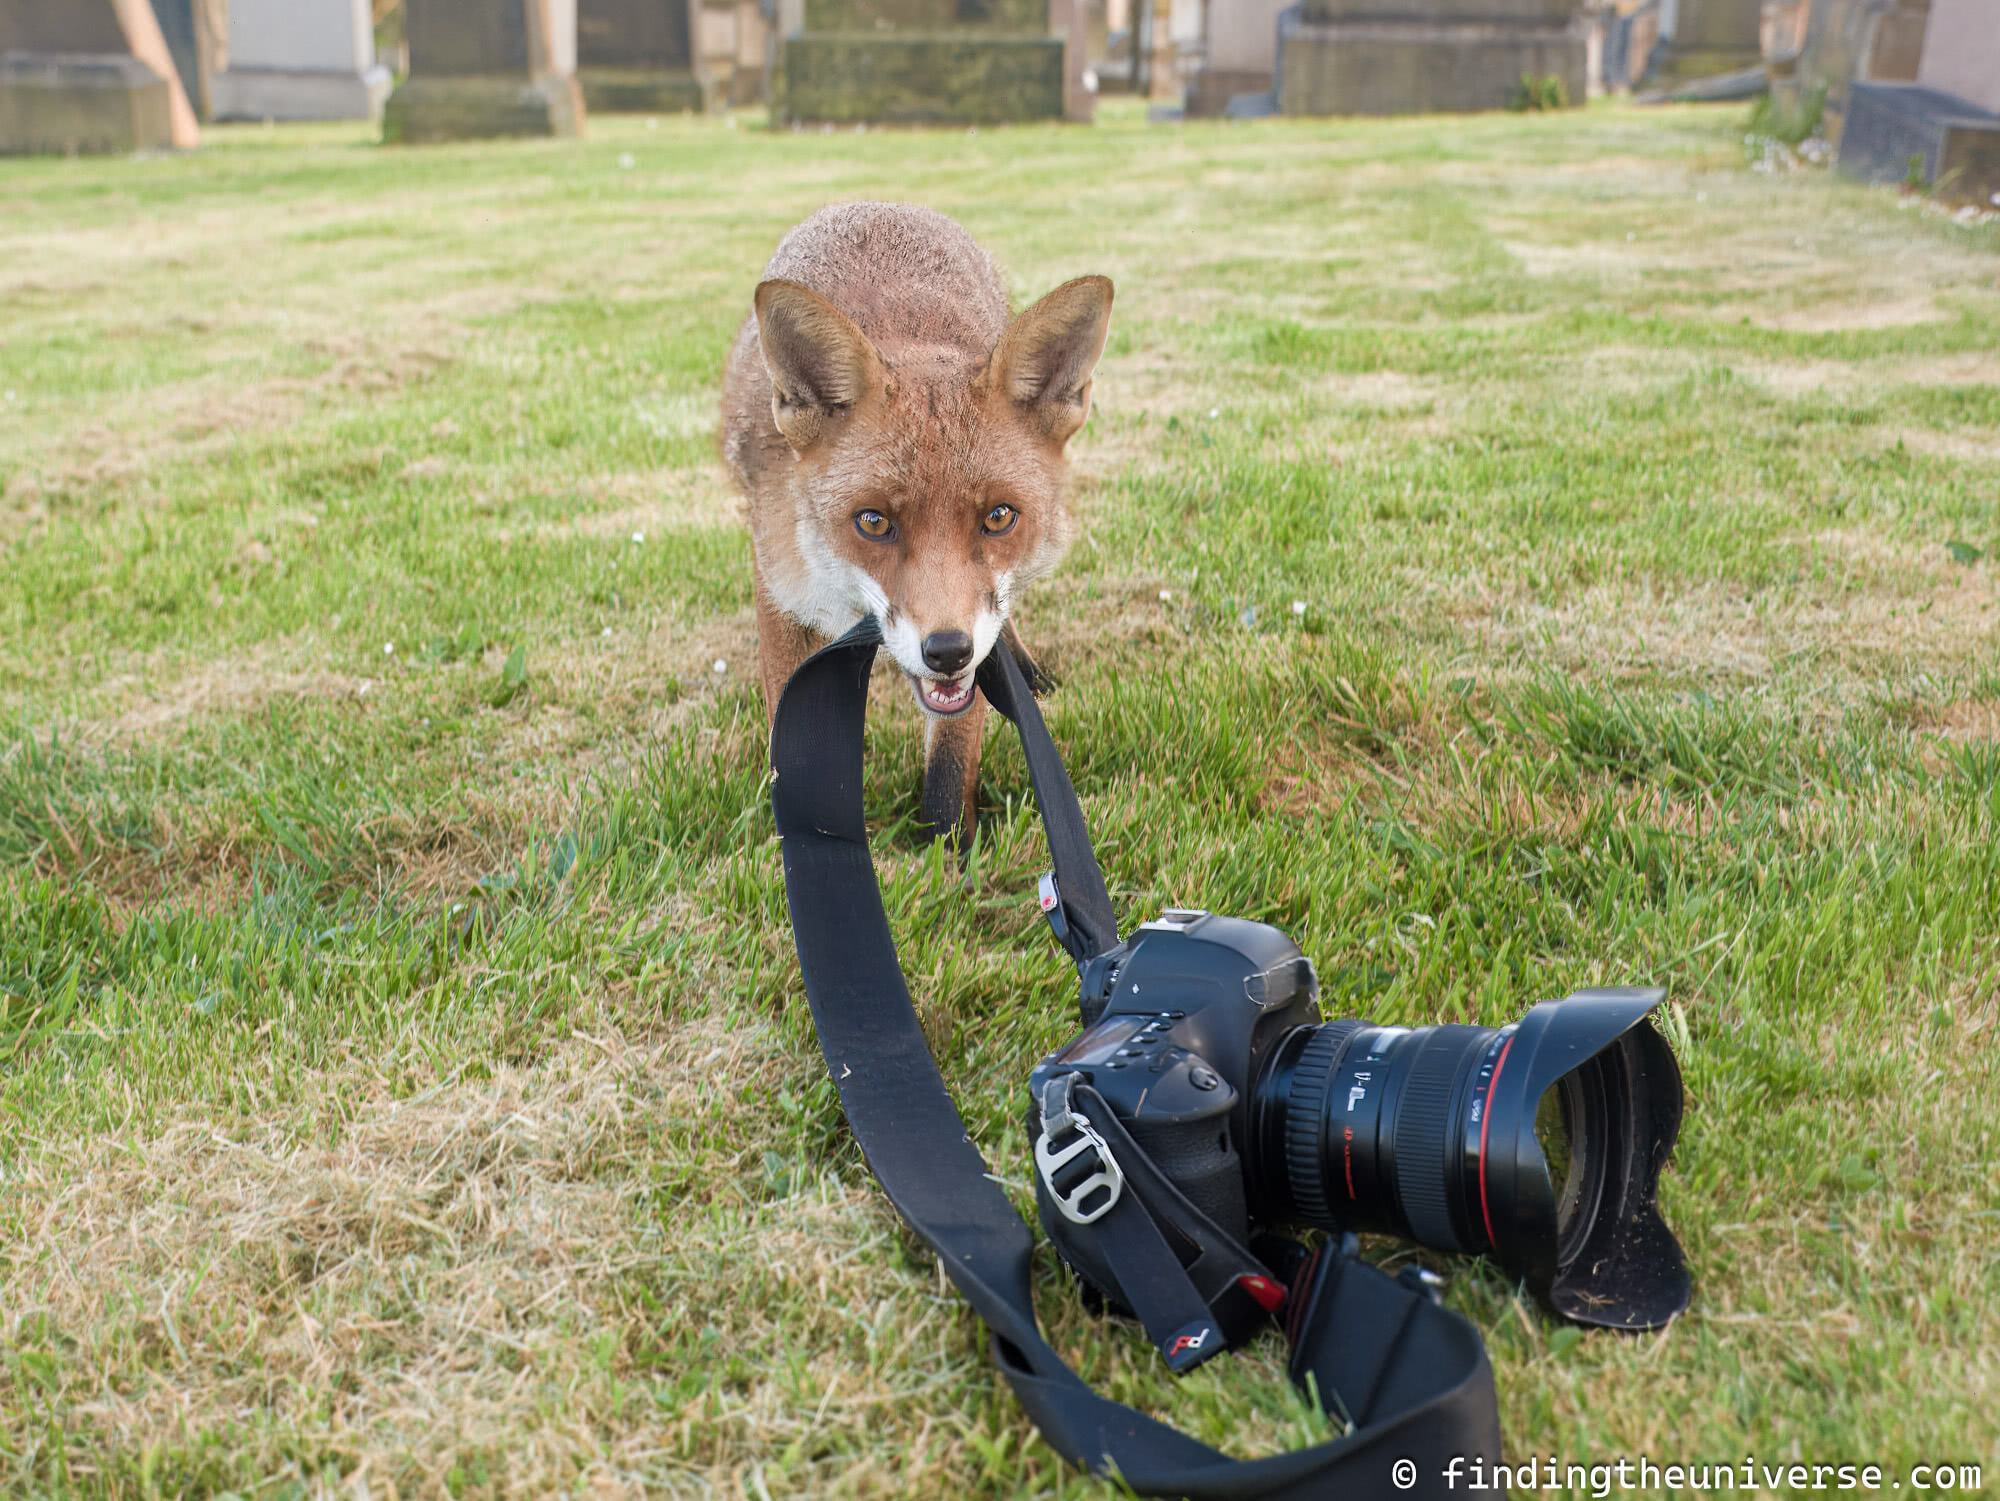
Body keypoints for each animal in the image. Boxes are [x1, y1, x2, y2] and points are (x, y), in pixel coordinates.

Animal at [721, 202, 1114, 837]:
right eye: (873, 522)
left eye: (999, 517)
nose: (948, 651)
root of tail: (875, 203)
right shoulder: (780, 592)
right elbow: (790, 744)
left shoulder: (972, 649)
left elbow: (951, 766)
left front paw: (950, 849)